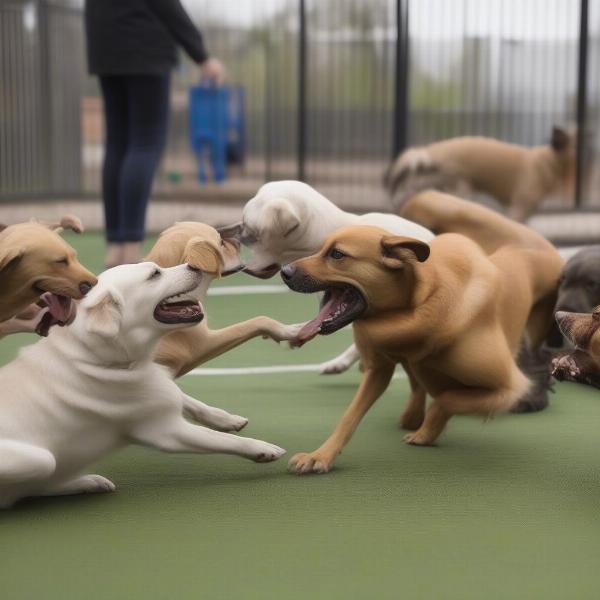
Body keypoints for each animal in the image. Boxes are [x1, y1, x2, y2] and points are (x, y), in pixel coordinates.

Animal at [0, 262, 284, 506]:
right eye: (155, 274)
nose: (196, 264)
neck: (96, 357)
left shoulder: (158, 385)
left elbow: (191, 402)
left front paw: (226, 419)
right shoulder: (167, 431)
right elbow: (222, 440)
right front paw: (262, 449)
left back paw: (89, 481)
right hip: (39, 460)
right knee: (21, 492)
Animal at [282, 196, 564, 474]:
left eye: (337, 254)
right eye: (320, 250)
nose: (284, 272)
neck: (420, 300)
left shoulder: (509, 385)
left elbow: (446, 399)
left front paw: (427, 432)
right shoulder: (379, 370)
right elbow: (350, 416)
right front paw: (320, 455)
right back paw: (412, 414)